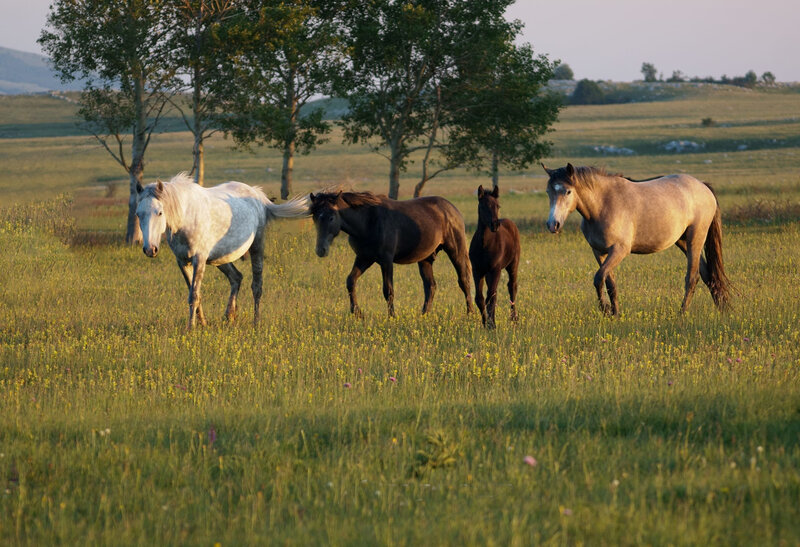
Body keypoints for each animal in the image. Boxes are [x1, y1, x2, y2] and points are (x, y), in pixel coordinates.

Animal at [136, 172, 309, 329]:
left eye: (160, 212)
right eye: (138, 214)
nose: (150, 249)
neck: (186, 217)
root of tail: (258, 196)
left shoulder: (199, 259)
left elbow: (194, 295)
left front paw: (191, 328)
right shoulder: (183, 261)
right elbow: (195, 293)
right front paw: (203, 323)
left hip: (257, 247)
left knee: (257, 286)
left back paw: (256, 322)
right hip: (221, 258)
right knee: (236, 278)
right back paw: (230, 315)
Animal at [309, 191, 473, 317]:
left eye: (331, 217)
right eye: (315, 217)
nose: (321, 250)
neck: (368, 222)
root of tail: (452, 209)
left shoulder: (386, 261)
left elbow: (388, 290)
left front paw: (392, 316)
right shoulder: (364, 258)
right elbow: (350, 281)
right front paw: (357, 313)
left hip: (455, 250)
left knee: (464, 280)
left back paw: (470, 313)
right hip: (425, 259)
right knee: (430, 286)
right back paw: (424, 315)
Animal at [469, 185, 521, 329]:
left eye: (498, 206)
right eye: (483, 206)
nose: (495, 225)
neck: (484, 245)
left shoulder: (495, 269)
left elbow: (491, 296)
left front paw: (492, 325)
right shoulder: (477, 270)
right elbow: (480, 298)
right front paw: (485, 323)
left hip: (512, 265)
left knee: (512, 287)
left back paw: (514, 318)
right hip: (488, 274)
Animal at [542, 163, 730, 315]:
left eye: (568, 191)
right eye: (548, 192)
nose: (553, 224)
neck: (603, 205)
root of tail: (703, 186)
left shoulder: (619, 250)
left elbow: (598, 278)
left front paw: (605, 310)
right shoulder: (599, 252)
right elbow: (610, 283)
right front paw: (615, 313)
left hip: (695, 239)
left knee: (692, 277)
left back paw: (682, 313)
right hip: (682, 241)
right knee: (708, 275)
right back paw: (721, 309)